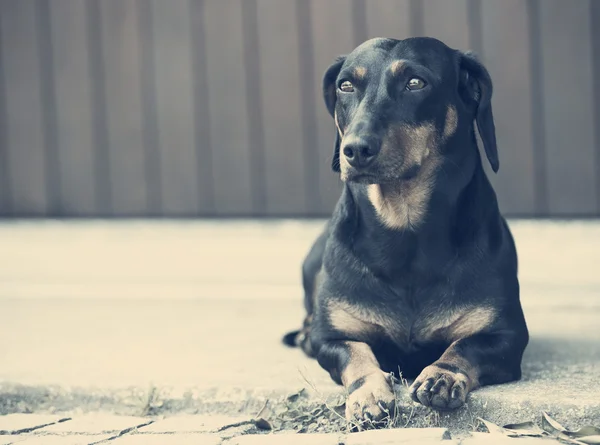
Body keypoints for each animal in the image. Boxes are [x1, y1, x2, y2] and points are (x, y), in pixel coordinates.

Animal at [284, 37, 528, 424]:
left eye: (415, 83)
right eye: (345, 85)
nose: (355, 149)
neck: (404, 228)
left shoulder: (507, 336)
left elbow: (466, 346)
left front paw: (443, 374)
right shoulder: (331, 339)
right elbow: (356, 354)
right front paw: (368, 392)